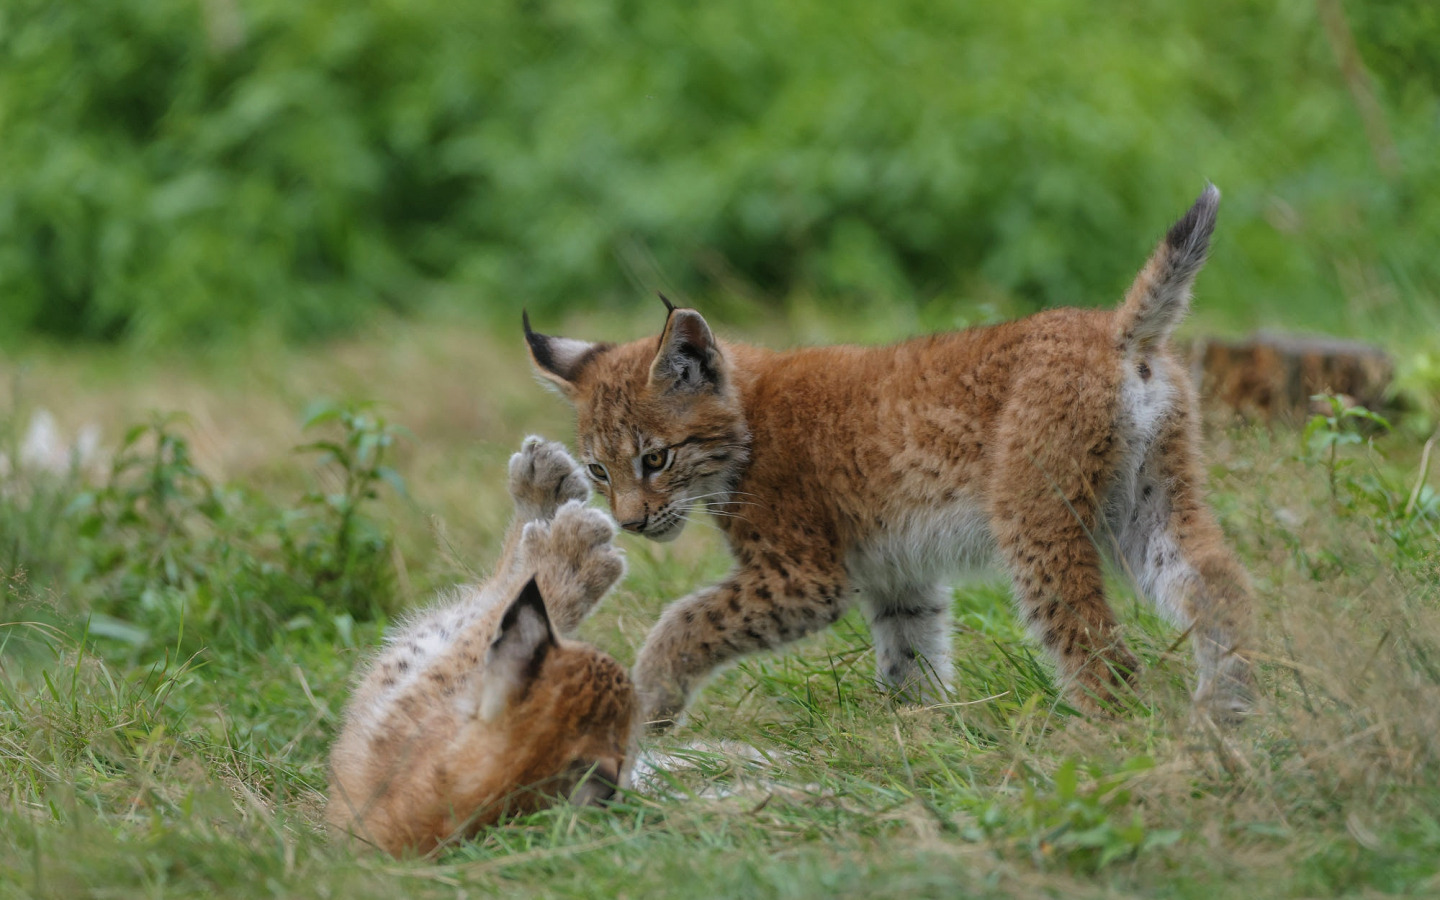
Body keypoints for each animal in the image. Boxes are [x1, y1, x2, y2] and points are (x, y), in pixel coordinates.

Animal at [527, 185, 1249, 725]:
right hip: (1149, 499)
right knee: (1219, 585)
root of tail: (1112, 329)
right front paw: (916, 728)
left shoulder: (805, 576)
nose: (630, 523)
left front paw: (645, 697)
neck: (744, 420)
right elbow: (911, 648)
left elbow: (685, 618)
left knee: (1100, 648)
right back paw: (1231, 711)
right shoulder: (896, 570)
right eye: (598, 470)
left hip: (1033, 514)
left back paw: (1098, 742)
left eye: (655, 460)